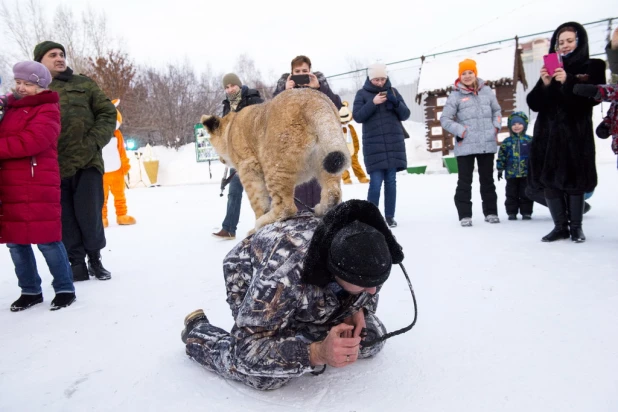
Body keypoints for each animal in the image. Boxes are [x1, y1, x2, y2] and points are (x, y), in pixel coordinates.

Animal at [200, 87, 348, 232]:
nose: (220, 159)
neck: (230, 130)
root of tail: (313, 100)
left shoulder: (248, 166)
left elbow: (258, 200)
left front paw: (256, 225)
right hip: (328, 153)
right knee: (333, 192)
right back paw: (320, 209)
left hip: (274, 165)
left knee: (287, 207)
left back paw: (262, 222)